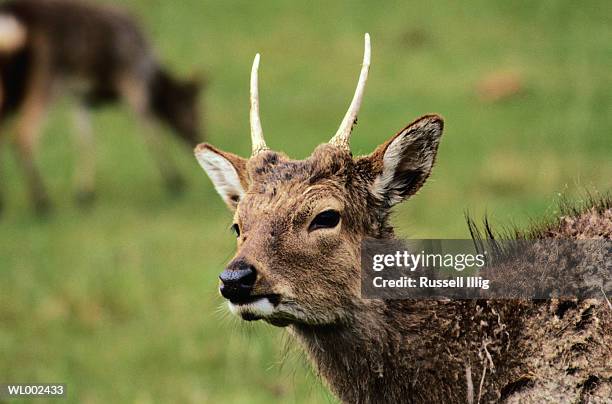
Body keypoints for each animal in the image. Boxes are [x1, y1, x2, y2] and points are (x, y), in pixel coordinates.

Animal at [0, 0, 206, 215]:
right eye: (194, 109)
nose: (197, 137)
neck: (152, 74)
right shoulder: (132, 80)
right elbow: (149, 130)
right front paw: (175, 181)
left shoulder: (81, 97)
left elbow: (85, 140)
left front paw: (84, 194)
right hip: (46, 76)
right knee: (23, 134)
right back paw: (42, 203)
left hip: (13, 86)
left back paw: (7, 202)